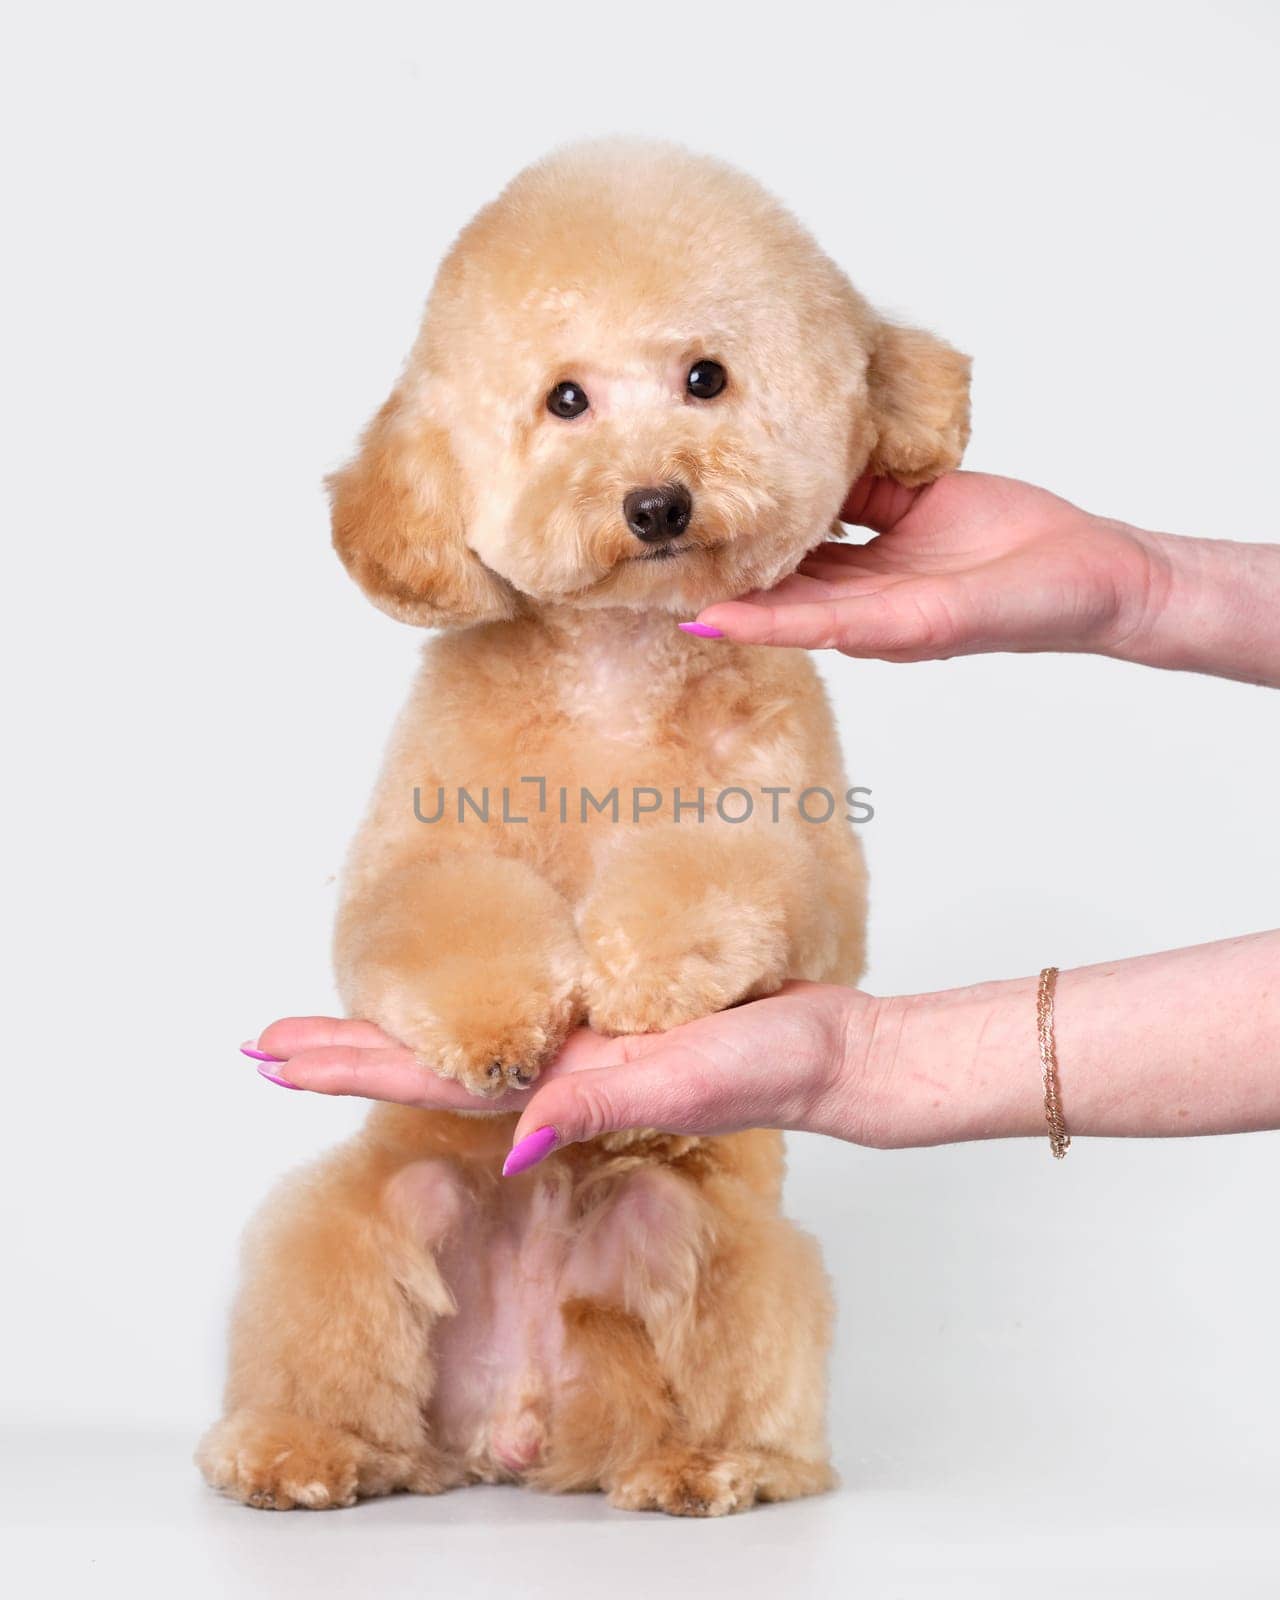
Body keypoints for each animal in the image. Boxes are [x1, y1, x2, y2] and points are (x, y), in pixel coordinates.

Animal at [195, 137, 966, 1510]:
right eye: (564, 401)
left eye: (705, 377)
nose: (655, 503)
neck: (618, 663)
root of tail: (509, 1432)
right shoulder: (420, 844)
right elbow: (425, 909)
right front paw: (501, 1025)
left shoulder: (807, 860)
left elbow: (741, 876)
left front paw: (646, 973)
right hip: (362, 1218)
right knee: (350, 1302)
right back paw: (300, 1448)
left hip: (710, 1242)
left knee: (729, 1356)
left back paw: (707, 1463)